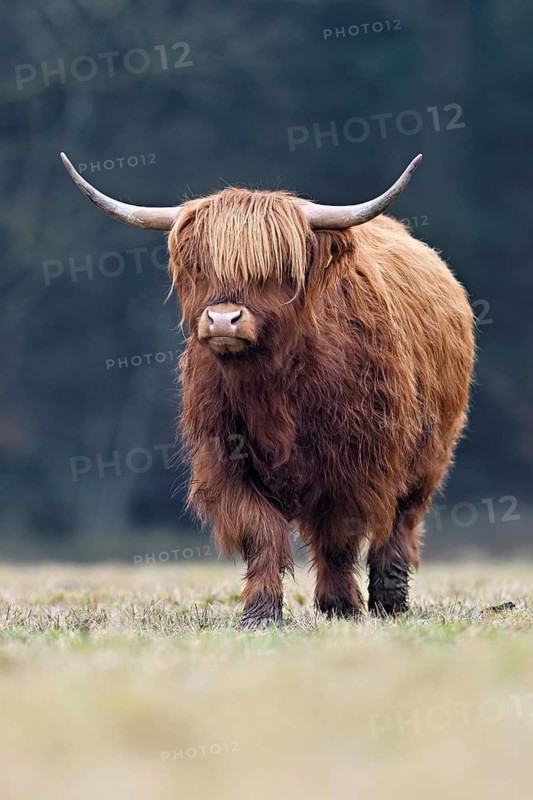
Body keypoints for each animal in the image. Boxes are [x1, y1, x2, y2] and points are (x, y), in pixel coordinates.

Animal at [61, 152, 475, 629]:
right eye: (201, 267)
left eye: (272, 272)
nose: (223, 319)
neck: (272, 386)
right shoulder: (225, 460)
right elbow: (260, 533)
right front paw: (260, 613)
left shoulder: (355, 462)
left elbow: (337, 538)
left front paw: (340, 606)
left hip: (429, 455)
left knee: (400, 524)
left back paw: (390, 601)